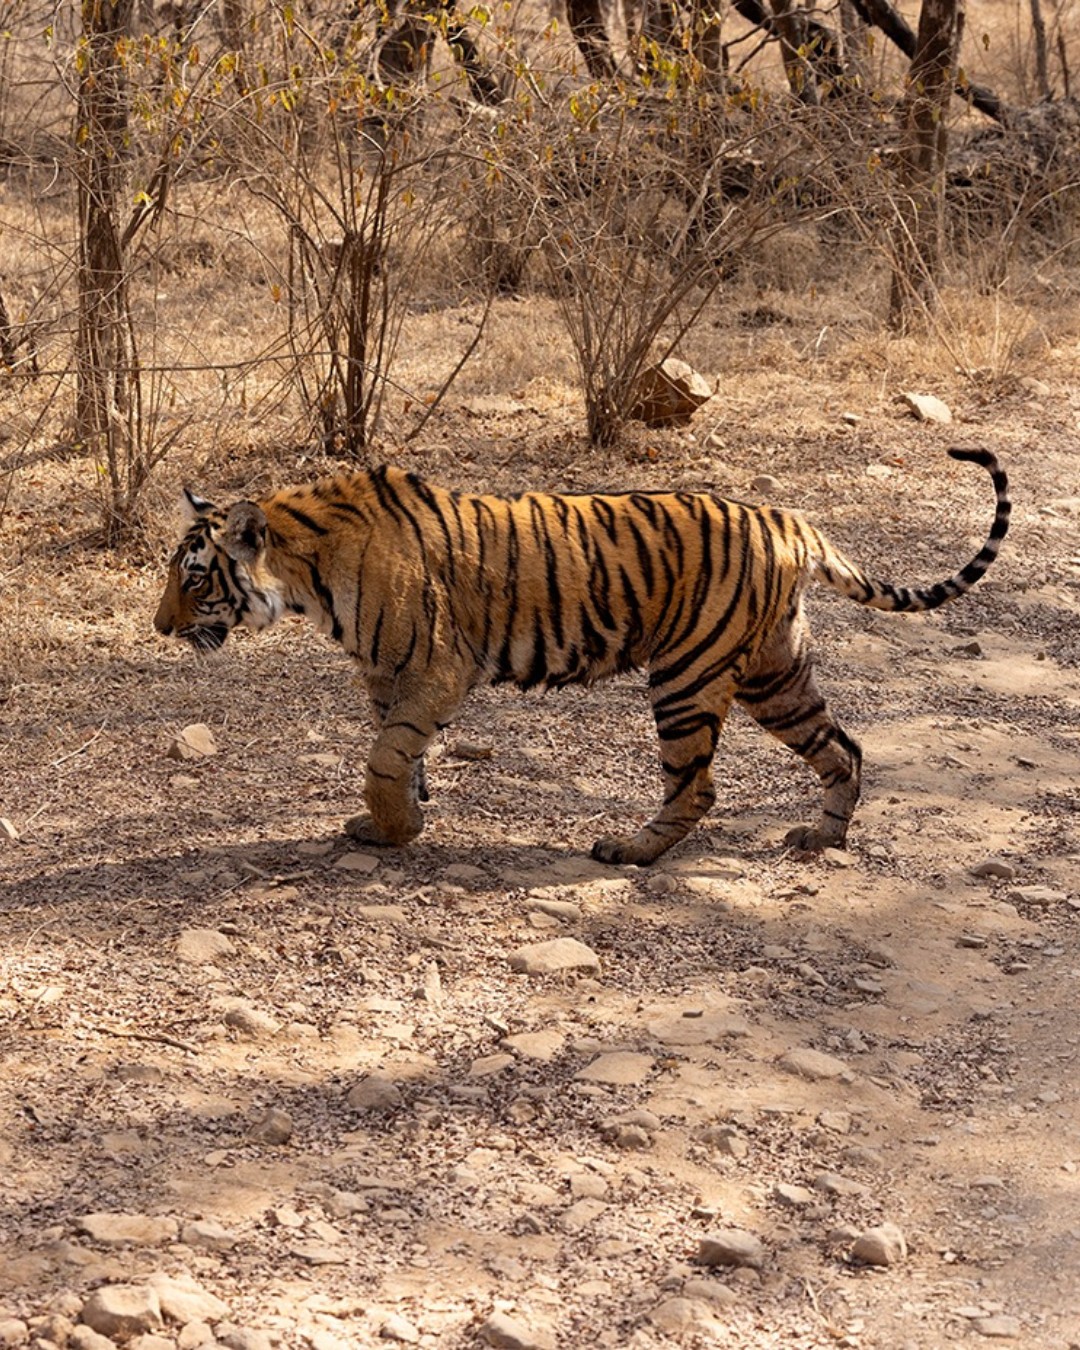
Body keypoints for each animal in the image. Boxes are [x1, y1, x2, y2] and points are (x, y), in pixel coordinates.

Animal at [153, 447, 1009, 866]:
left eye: (194, 578)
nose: (160, 628)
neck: (307, 576)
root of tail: (788, 519)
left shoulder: (436, 667)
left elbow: (384, 758)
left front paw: (394, 826)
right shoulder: (388, 675)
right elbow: (400, 752)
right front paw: (402, 821)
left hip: (688, 677)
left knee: (697, 788)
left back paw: (630, 850)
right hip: (775, 674)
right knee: (844, 748)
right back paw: (822, 838)